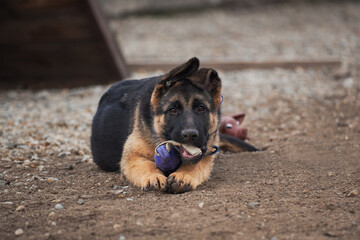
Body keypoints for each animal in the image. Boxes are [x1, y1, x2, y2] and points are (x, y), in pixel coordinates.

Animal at [91, 57, 258, 193]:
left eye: (201, 108)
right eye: (172, 110)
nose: (190, 134)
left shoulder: (206, 153)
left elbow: (195, 163)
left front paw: (184, 174)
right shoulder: (131, 156)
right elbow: (145, 164)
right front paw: (154, 176)